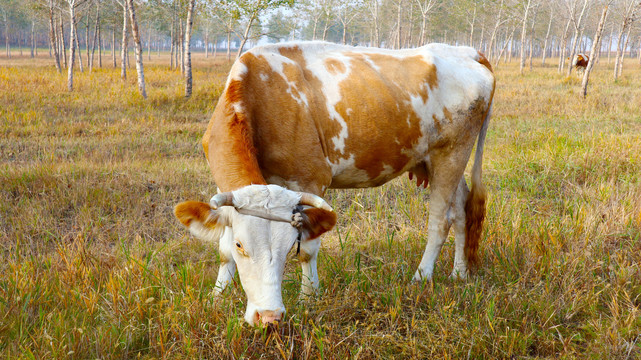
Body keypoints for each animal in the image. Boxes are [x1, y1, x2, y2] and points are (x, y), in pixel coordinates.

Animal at [174, 42, 496, 326]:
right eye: (242, 245)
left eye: (288, 245)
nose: (269, 317)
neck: (261, 96)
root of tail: (468, 51)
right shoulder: (226, 191)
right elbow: (222, 248)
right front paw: (216, 297)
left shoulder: (309, 180)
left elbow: (307, 251)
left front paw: (308, 298)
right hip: (440, 161)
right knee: (461, 212)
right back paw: (459, 273)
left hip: (452, 153)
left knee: (441, 220)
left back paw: (421, 276)